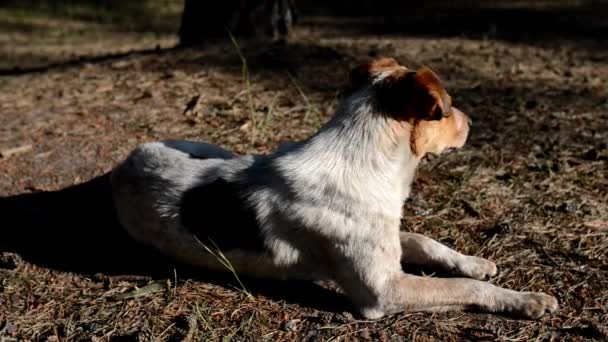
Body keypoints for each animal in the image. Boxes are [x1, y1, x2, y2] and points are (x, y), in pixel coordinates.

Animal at [111, 56, 560, 320]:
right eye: (446, 110)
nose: (472, 123)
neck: (366, 163)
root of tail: (126, 160)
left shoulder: (388, 242)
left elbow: (428, 242)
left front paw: (474, 261)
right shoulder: (384, 292)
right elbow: (465, 287)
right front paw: (525, 300)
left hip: (215, 150)